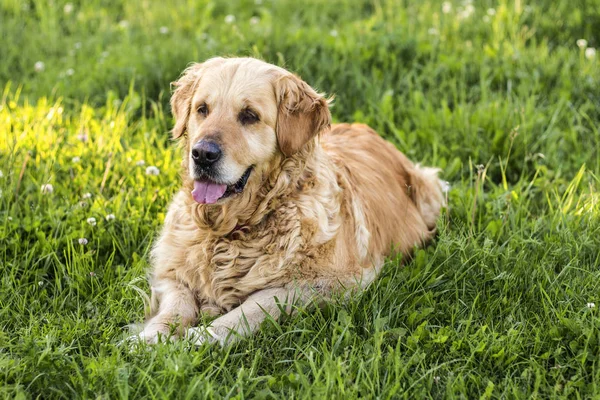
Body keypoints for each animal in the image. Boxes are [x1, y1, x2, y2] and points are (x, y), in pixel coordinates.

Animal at [130, 57, 440, 346]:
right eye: (202, 109)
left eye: (249, 115)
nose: (203, 154)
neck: (231, 229)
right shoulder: (169, 270)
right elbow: (176, 303)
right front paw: (152, 337)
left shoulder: (336, 281)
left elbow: (258, 303)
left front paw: (207, 335)